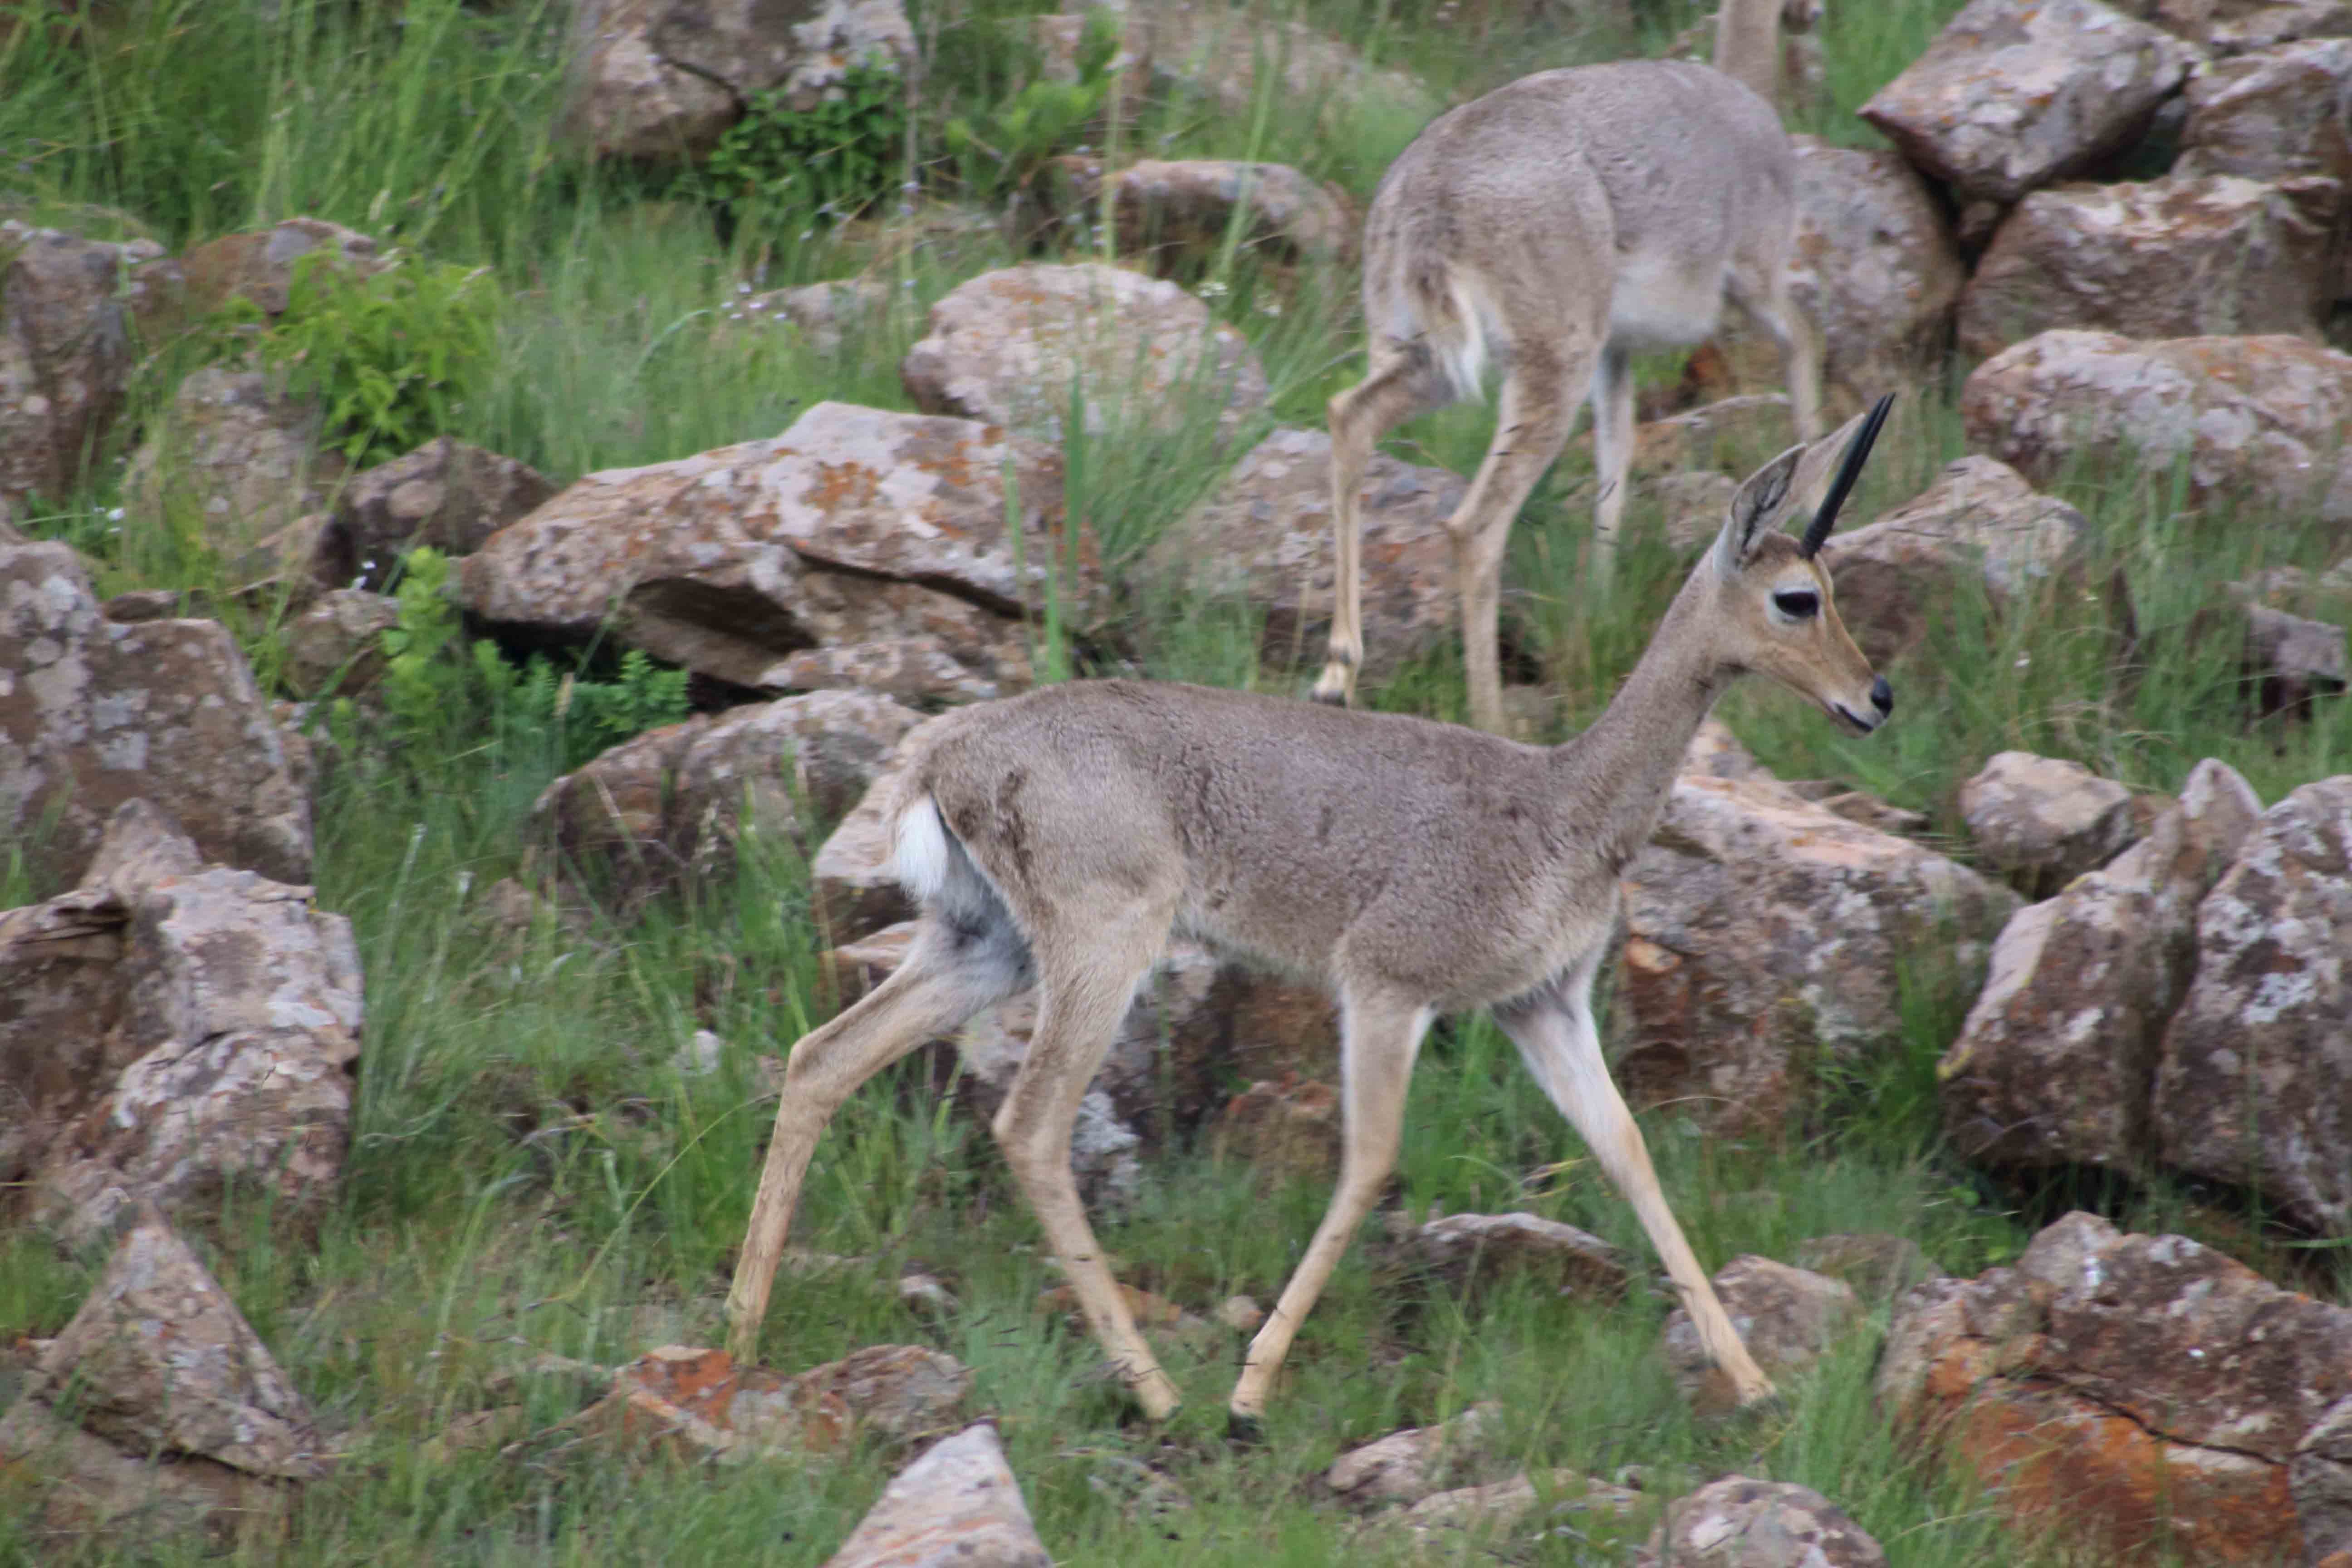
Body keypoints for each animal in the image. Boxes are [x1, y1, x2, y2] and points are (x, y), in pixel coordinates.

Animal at [724, 395, 1900, 1439]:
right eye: (1797, 596)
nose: (1876, 697)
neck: (1567, 803)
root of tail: (946, 758)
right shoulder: (1385, 986)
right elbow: (1371, 1161)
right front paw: (1250, 1394)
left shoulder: (1542, 1006)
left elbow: (1628, 1154)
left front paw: (1758, 1385)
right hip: (1100, 949)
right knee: (1029, 1125)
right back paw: (1160, 1393)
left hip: (986, 947)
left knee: (824, 1056)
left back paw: (741, 1328)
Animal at [1317, 1, 1825, 738]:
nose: (1811, 20)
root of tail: (1427, 197)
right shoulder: (1755, 281)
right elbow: (1805, 344)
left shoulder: (1616, 354)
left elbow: (1617, 455)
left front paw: (1604, 599)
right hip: (1546, 369)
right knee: (1475, 526)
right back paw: (1491, 719)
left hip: (1423, 359)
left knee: (1350, 419)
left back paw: (1337, 673)